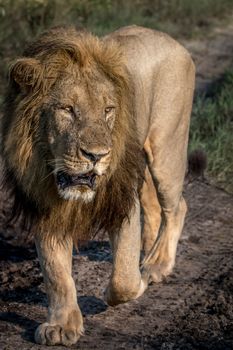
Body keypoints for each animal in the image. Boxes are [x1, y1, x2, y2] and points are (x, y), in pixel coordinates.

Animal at [0, 26, 195, 346]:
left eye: (108, 110)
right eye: (67, 109)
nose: (97, 156)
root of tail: (168, 38)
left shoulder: (122, 200)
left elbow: (123, 278)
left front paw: (135, 283)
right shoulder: (47, 207)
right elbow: (56, 274)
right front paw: (61, 325)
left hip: (167, 149)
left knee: (177, 206)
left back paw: (156, 265)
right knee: (154, 205)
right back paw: (148, 249)